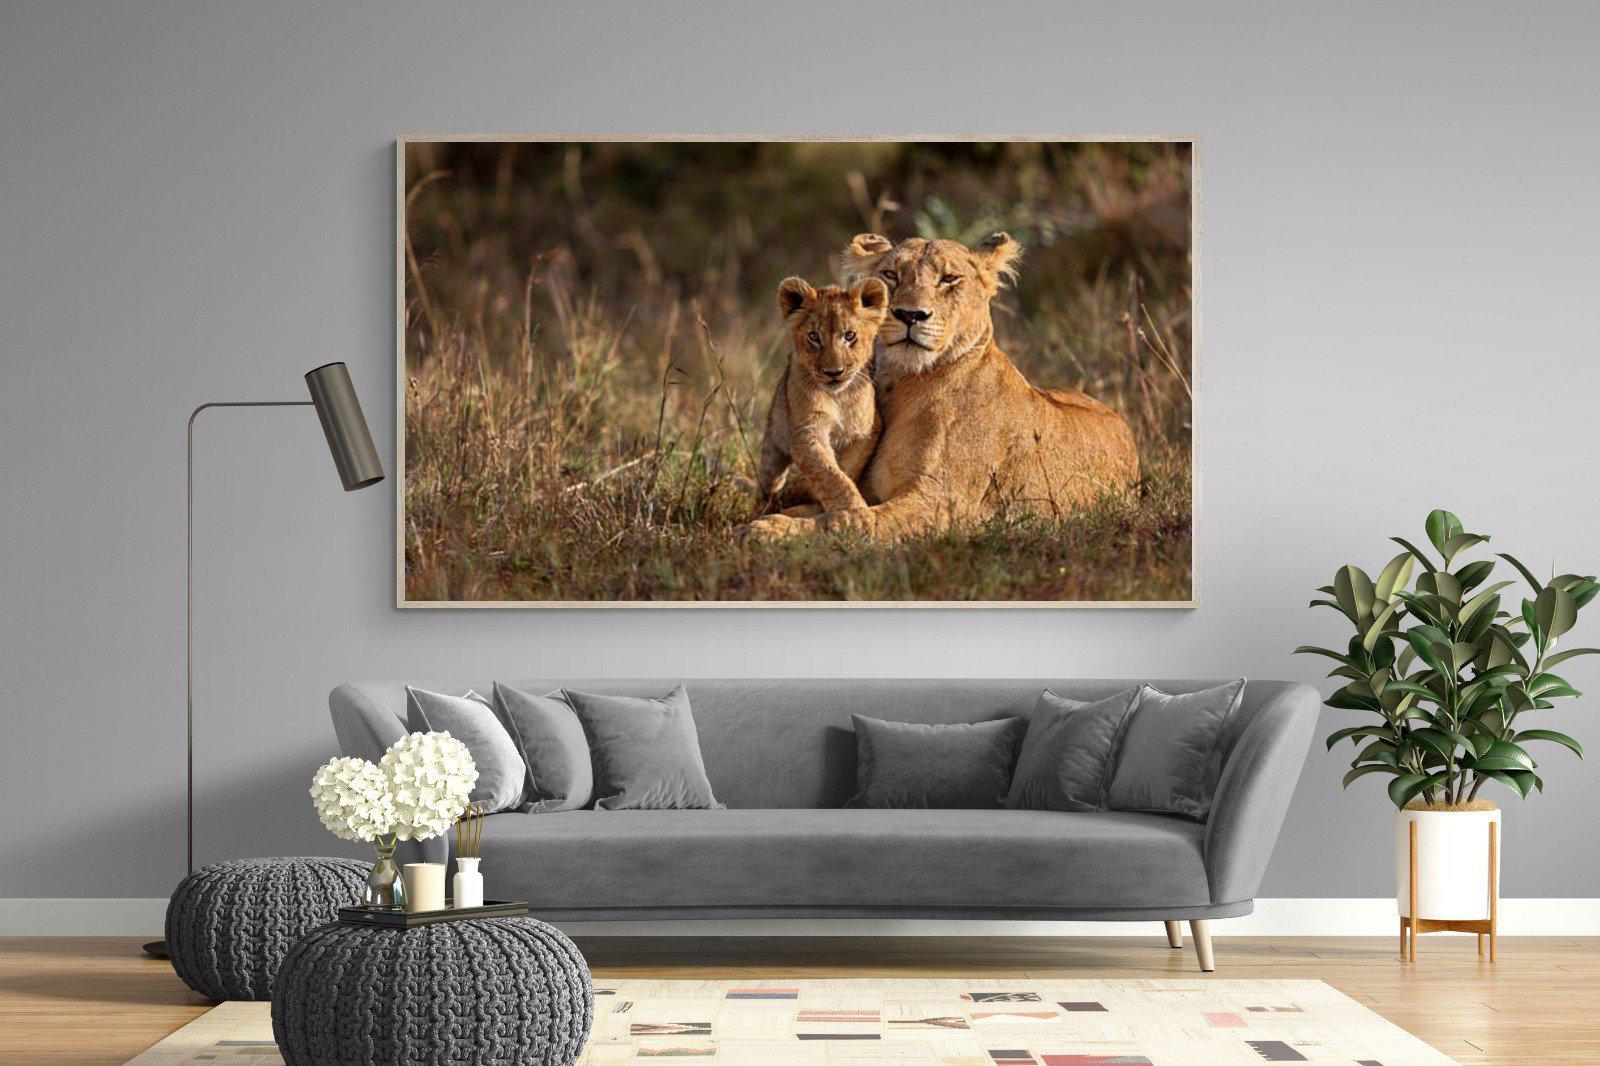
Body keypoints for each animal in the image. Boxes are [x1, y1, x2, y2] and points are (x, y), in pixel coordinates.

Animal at [754, 276, 890, 515]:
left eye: (850, 335)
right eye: (814, 336)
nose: (833, 372)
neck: (838, 397)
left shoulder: (868, 430)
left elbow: (846, 468)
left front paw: (809, 492)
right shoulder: (807, 430)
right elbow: (829, 474)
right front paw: (854, 514)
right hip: (773, 441)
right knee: (768, 481)